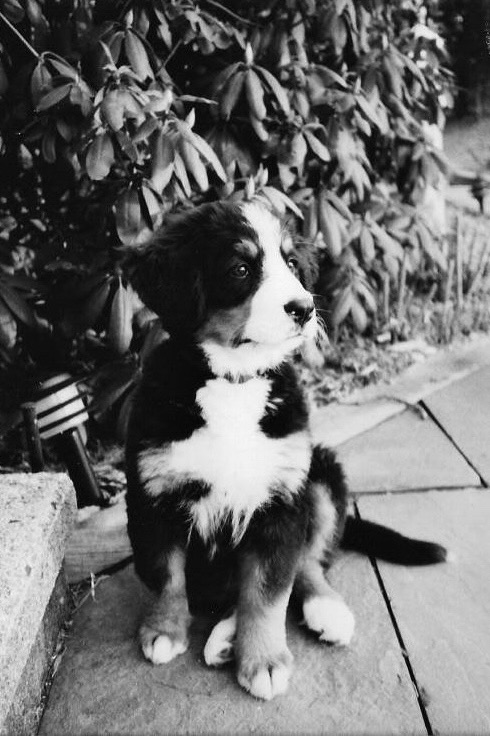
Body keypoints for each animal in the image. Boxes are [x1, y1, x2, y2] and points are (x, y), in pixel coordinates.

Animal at [124, 200, 446, 700]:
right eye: (240, 268)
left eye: (293, 264)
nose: (305, 307)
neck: (234, 381)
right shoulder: (154, 494)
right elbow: (165, 575)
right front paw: (164, 631)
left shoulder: (280, 501)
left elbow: (269, 589)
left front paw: (265, 661)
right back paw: (224, 638)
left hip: (320, 474)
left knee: (309, 563)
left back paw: (323, 611)